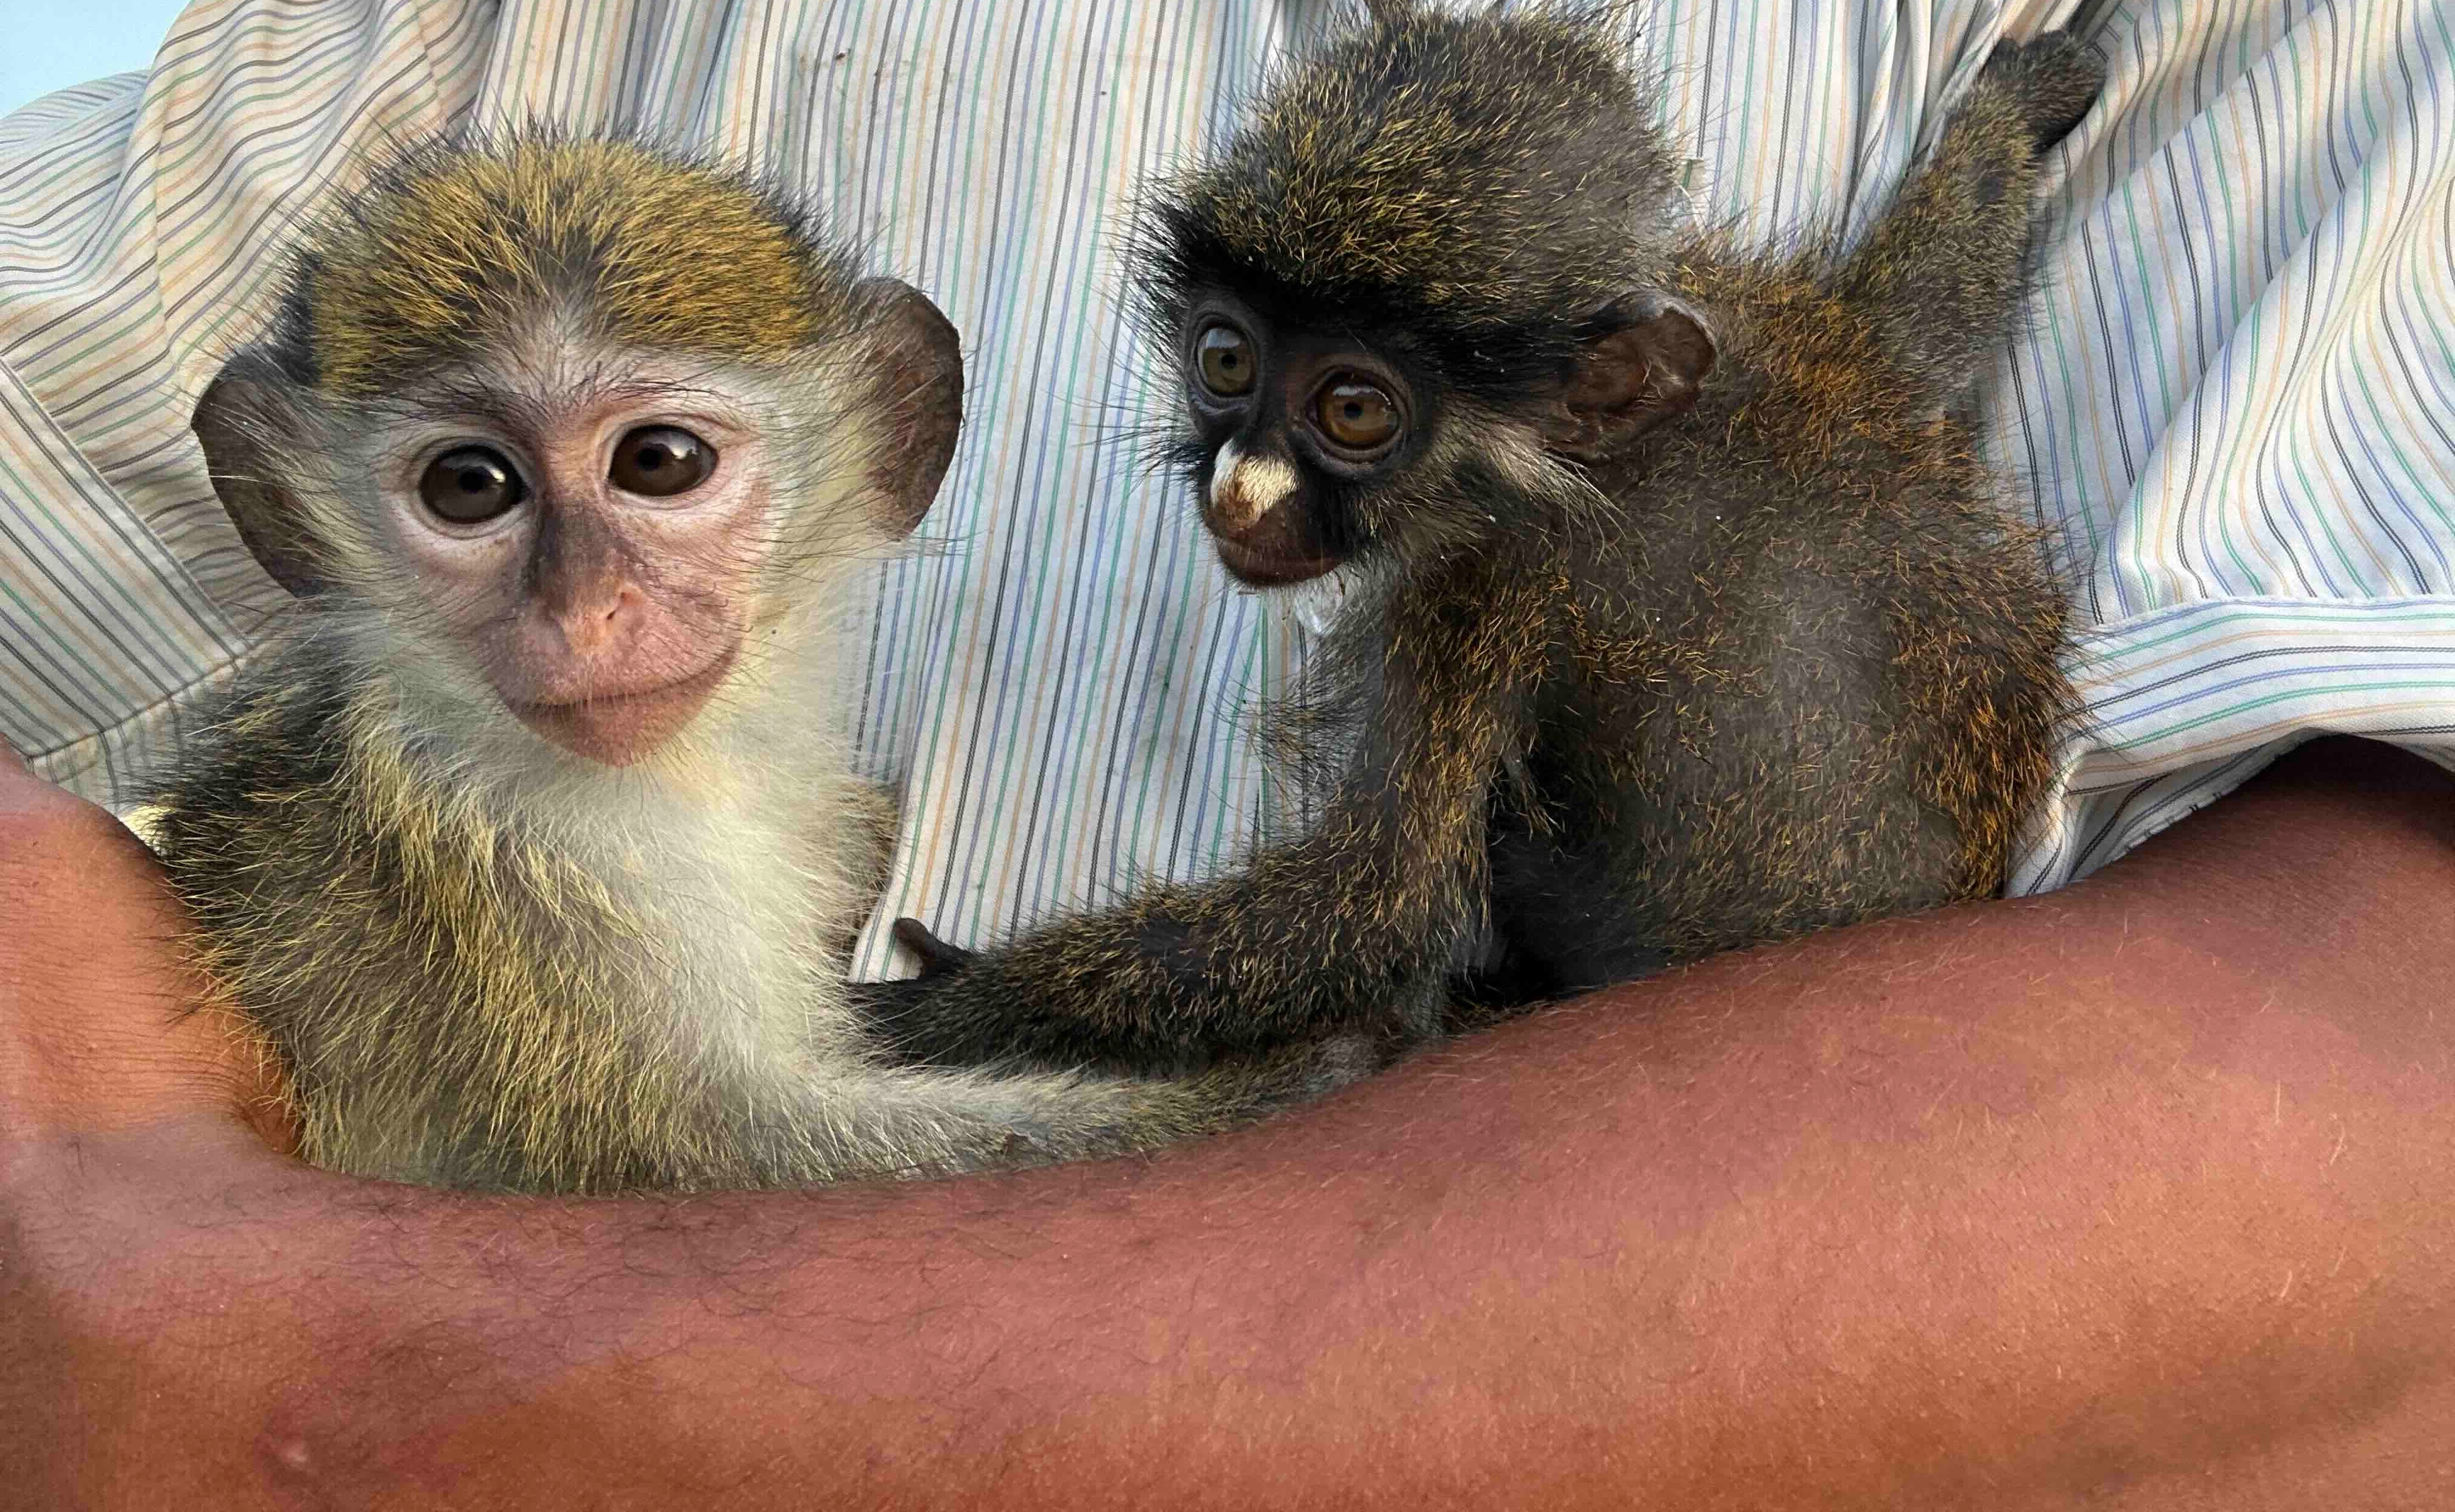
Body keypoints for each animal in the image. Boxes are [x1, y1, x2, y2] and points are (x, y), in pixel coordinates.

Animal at [135, 130, 1367, 1195]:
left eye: (659, 462)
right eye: (470, 486)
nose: (584, 610)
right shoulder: (510, 868)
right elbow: (721, 1150)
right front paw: (1294, 1075)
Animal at [861, 2, 2104, 1074]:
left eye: (1354, 412)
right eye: (1225, 359)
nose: (1241, 490)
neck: (1595, 448)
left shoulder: (1484, 588)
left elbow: (1366, 904)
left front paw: (940, 1010)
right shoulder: (1788, 342)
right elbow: (1919, 324)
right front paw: (2018, 104)